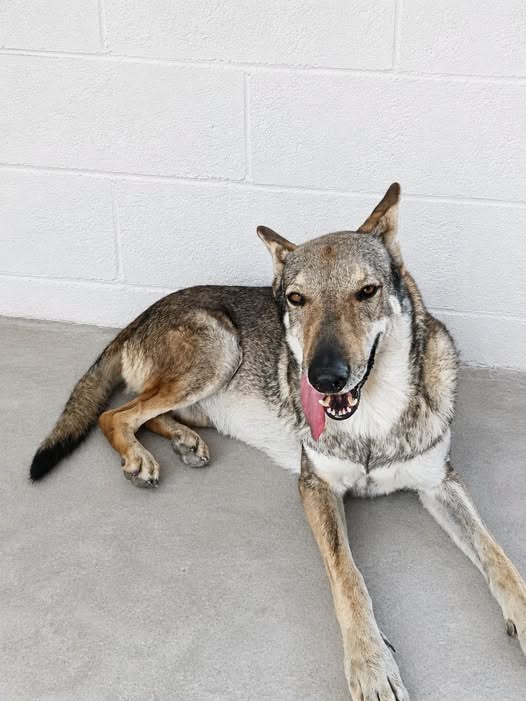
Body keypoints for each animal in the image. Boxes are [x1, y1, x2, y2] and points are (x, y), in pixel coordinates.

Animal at [30, 184, 526, 699]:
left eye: (367, 291)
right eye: (296, 298)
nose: (324, 378)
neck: (372, 417)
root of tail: (137, 316)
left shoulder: (440, 483)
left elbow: (500, 559)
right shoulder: (317, 487)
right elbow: (349, 578)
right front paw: (371, 665)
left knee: (149, 415)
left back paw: (184, 441)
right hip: (219, 350)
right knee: (115, 414)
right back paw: (142, 458)